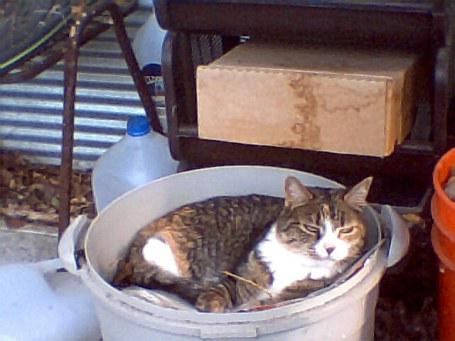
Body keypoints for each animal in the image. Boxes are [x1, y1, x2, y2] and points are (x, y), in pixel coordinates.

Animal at [112, 175, 372, 310]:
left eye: (346, 230)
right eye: (312, 228)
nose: (330, 248)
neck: (295, 264)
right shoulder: (238, 274)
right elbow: (221, 289)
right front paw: (212, 303)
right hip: (160, 250)